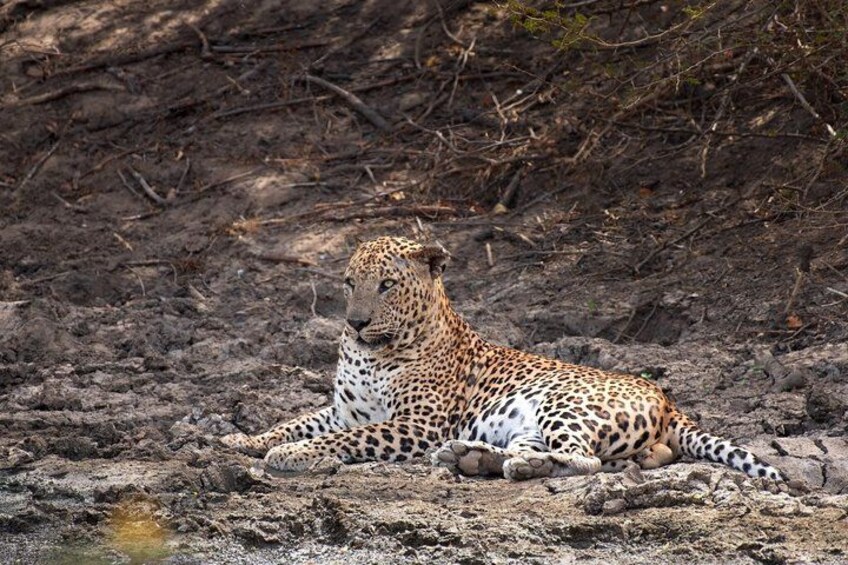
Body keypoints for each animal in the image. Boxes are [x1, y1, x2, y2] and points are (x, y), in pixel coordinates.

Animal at [221, 236, 784, 481]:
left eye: (386, 285)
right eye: (348, 283)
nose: (356, 323)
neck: (373, 353)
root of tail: (667, 398)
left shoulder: (416, 424)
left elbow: (345, 439)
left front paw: (294, 455)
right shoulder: (343, 410)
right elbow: (294, 421)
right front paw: (242, 440)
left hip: (564, 403)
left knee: (584, 459)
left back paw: (485, 459)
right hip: (532, 421)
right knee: (574, 454)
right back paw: (476, 456)